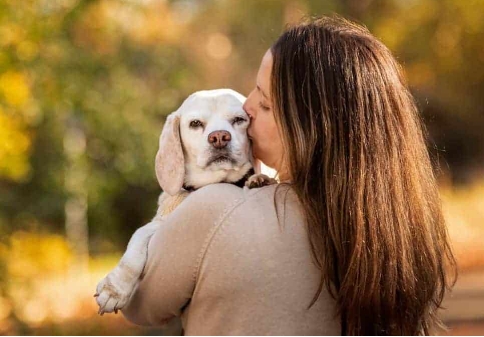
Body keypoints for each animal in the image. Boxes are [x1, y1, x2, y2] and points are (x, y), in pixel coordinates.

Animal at [95, 88, 276, 314]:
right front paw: (114, 289)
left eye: (239, 120)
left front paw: (259, 179)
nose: (219, 137)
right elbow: (137, 239)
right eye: (195, 123)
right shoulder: (160, 222)